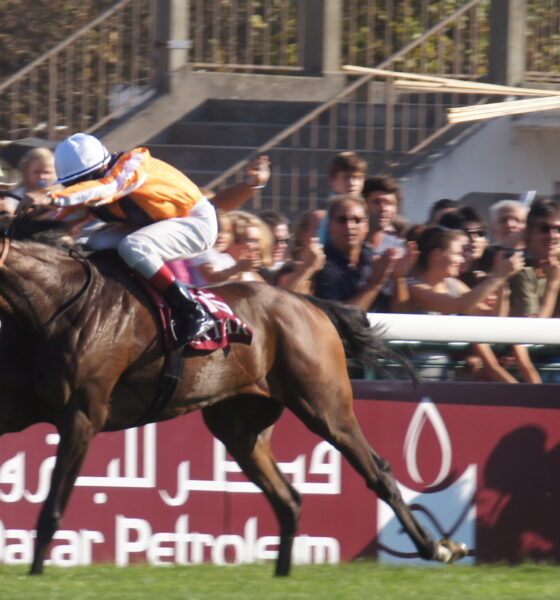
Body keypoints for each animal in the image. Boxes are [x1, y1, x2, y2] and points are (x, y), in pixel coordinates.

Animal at [0, 218, 466, 576]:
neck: (57, 305)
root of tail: (308, 302)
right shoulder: (21, 408)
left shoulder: (82, 414)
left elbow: (53, 506)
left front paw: (36, 571)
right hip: (240, 427)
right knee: (288, 498)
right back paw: (282, 576)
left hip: (325, 406)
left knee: (378, 471)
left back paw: (437, 547)